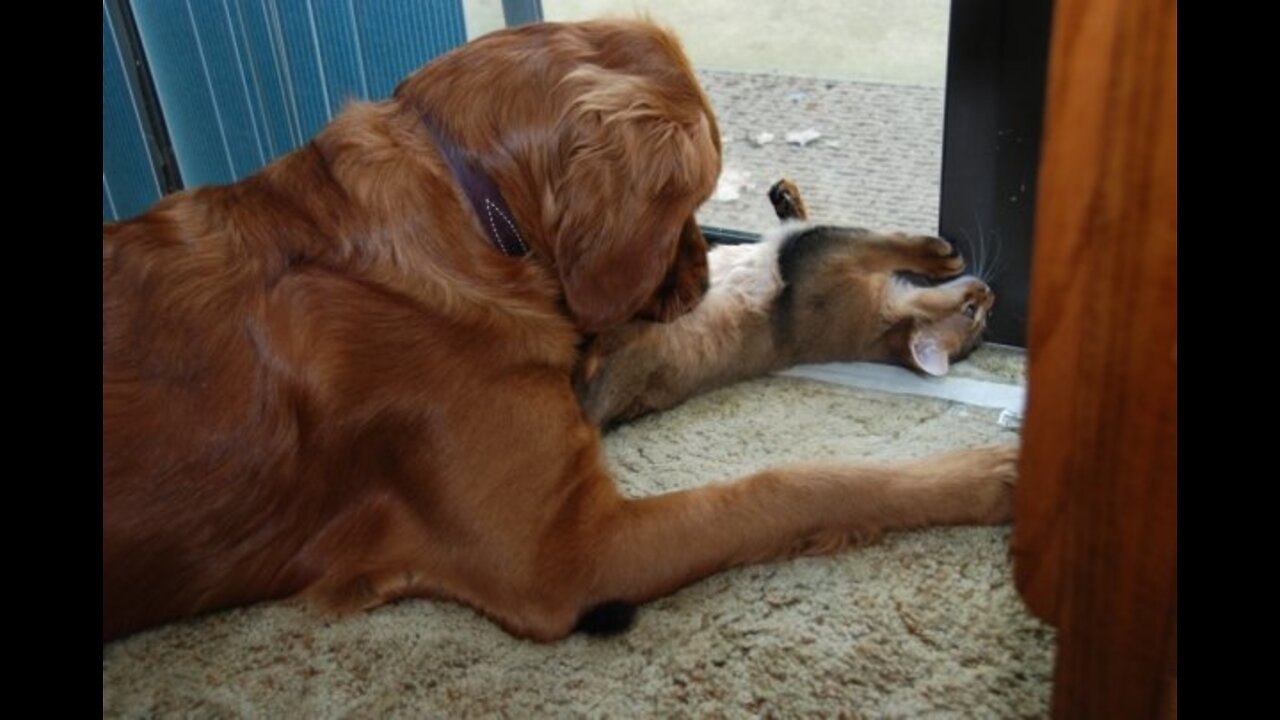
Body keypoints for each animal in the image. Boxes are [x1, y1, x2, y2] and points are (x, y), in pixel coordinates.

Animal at [578, 180, 988, 425]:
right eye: (974, 314)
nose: (990, 294)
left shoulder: (814, 253)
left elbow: (878, 240)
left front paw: (939, 256)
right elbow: (812, 221)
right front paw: (787, 195)